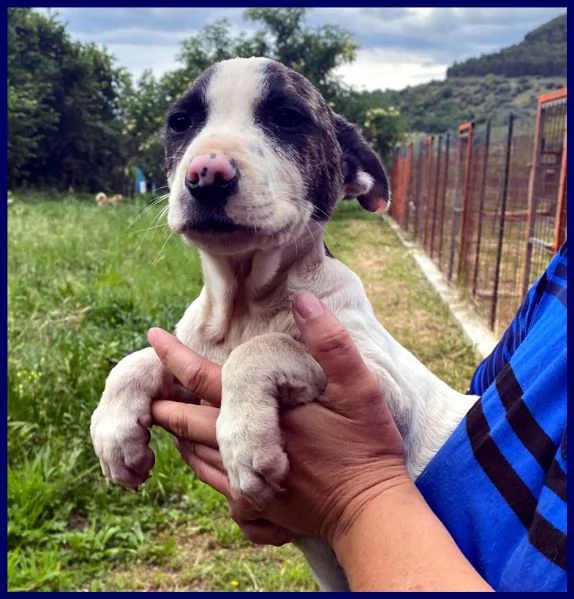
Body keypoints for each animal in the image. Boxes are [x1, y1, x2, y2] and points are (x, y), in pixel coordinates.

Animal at [89, 56, 476, 592]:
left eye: (288, 118)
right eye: (181, 122)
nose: (206, 173)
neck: (244, 308)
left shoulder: (386, 392)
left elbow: (263, 349)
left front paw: (246, 440)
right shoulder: (193, 362)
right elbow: (137, 358)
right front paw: (113, 431)